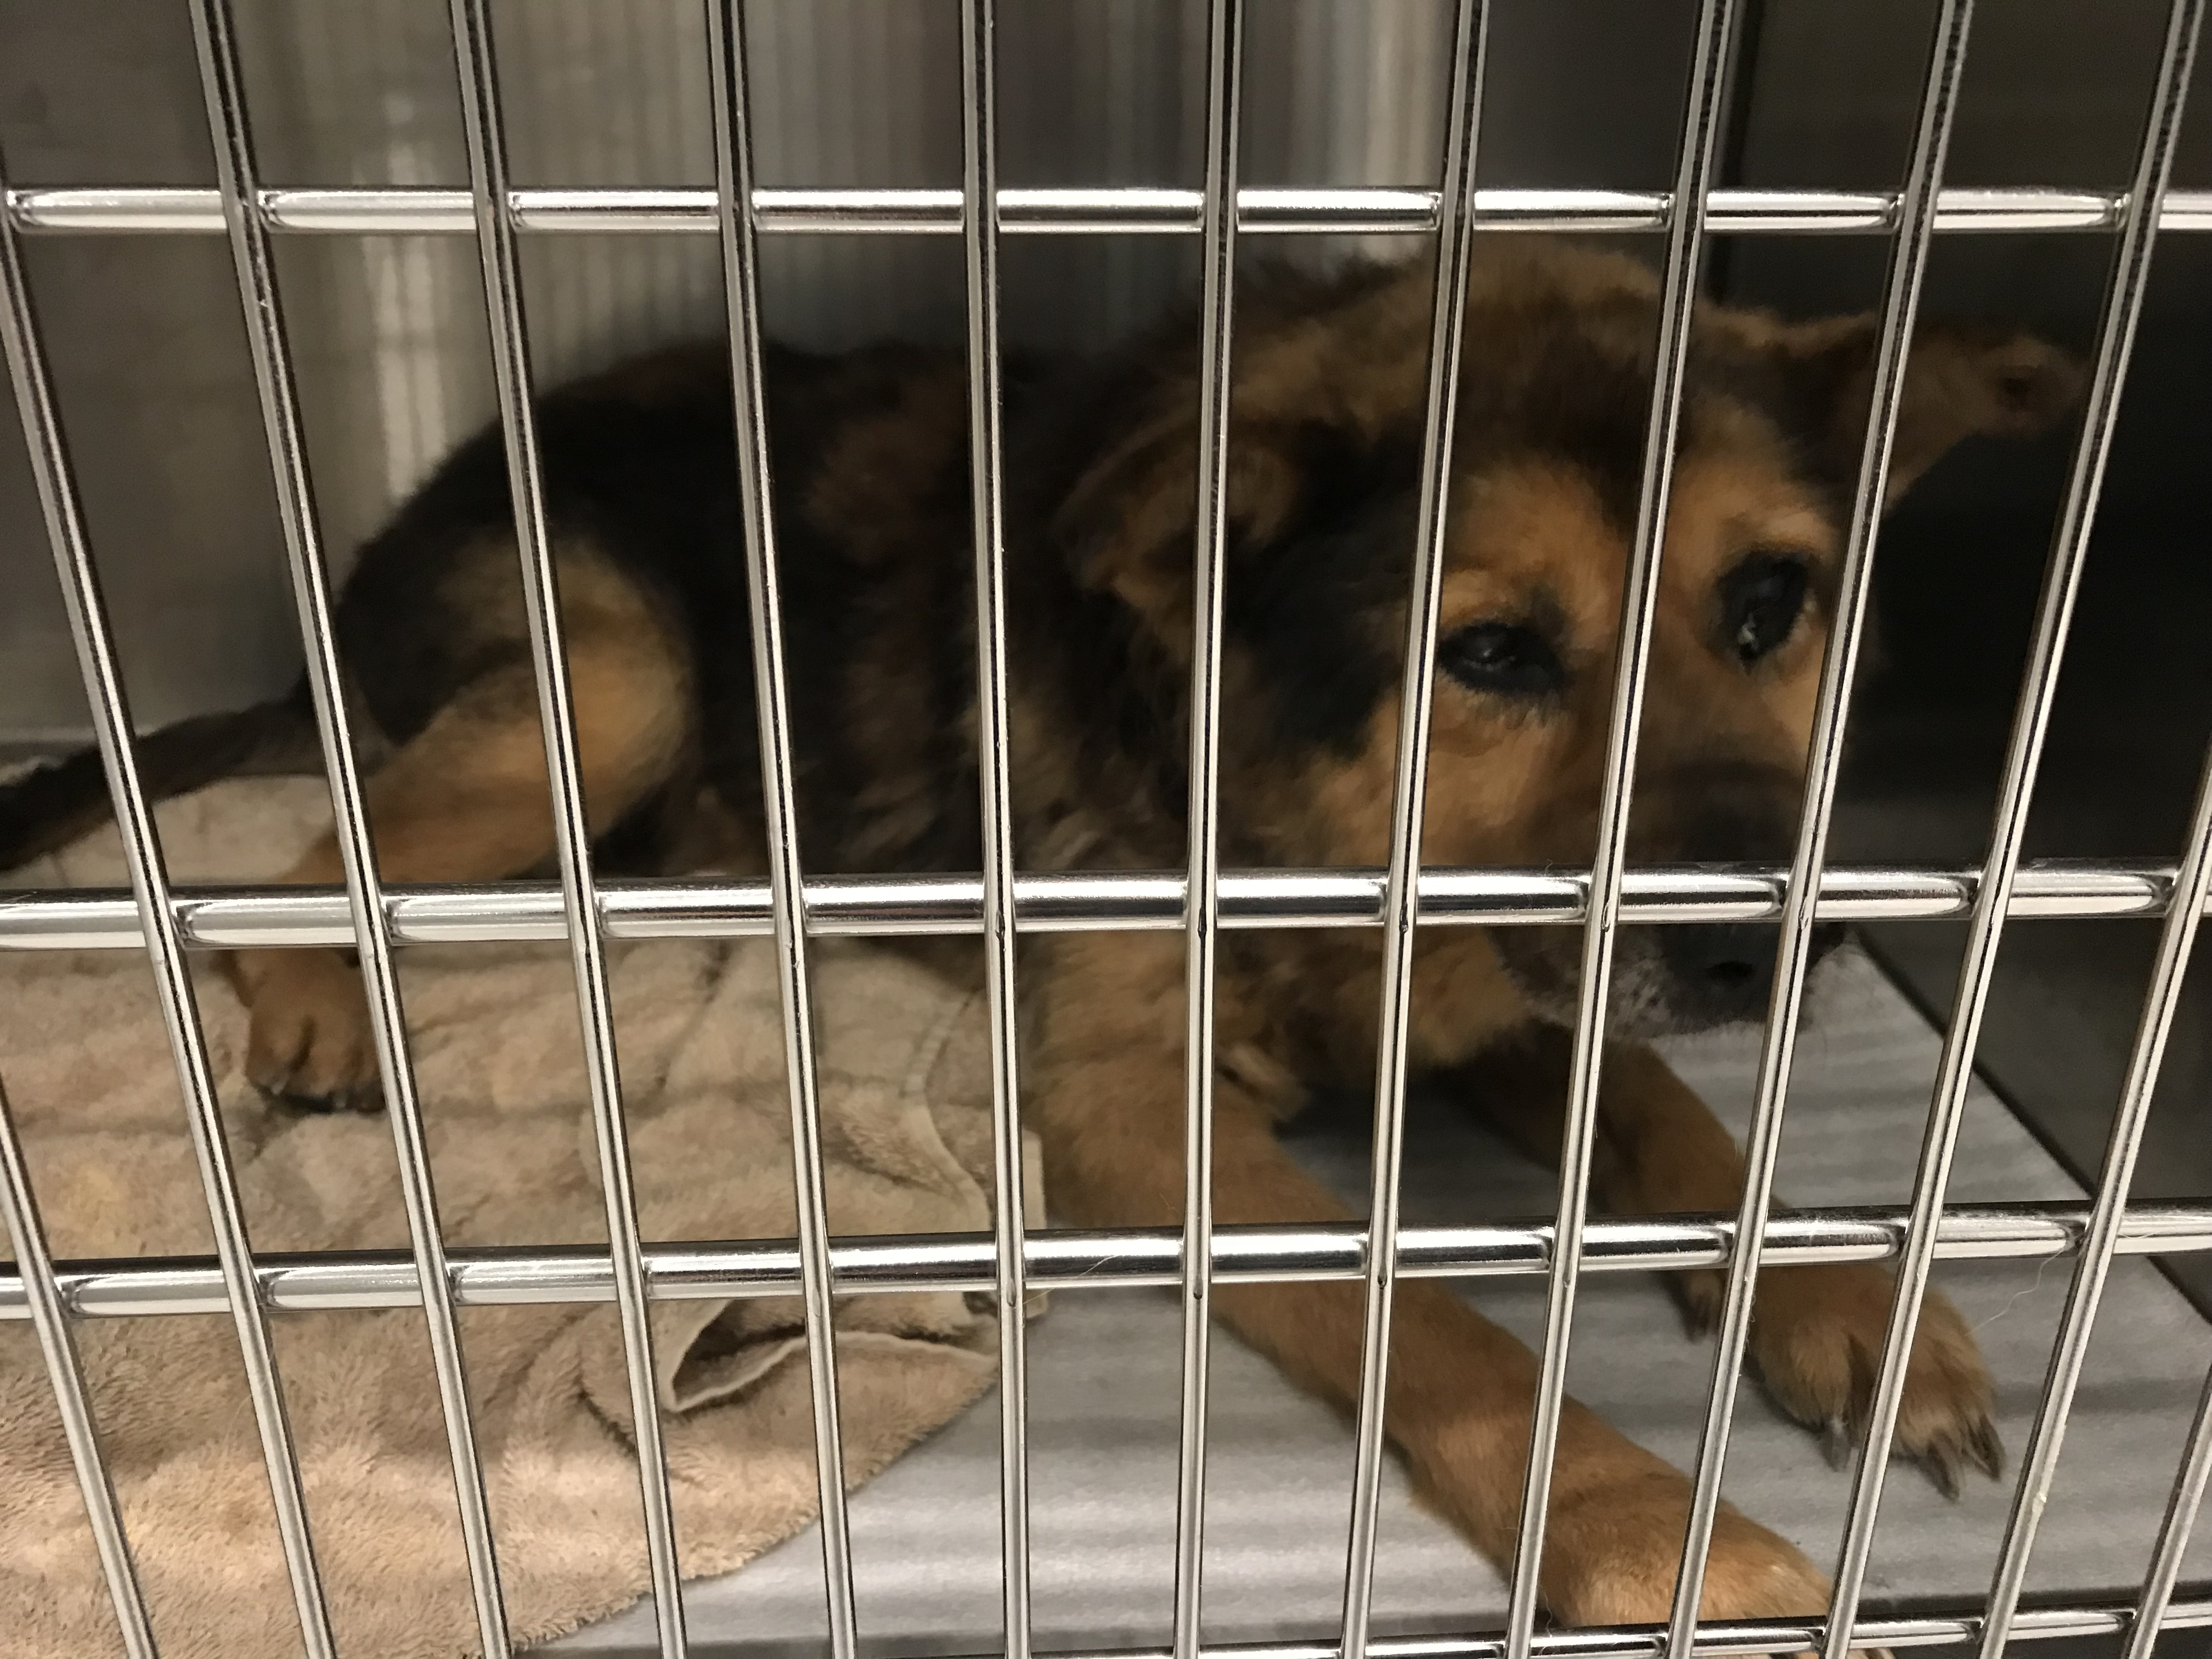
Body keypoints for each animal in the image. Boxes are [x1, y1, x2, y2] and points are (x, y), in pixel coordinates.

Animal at [1, 240, 2080, 1630]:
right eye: (1491, 651)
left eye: (1769, 604)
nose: (1760, 956)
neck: (1278, 800)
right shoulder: (1138, 1116)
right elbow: (1438, 1319)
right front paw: (1644, 1523)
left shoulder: (1497, 982)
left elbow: (1672, 1116)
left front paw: (1848, 1295)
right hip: (613, 682)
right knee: (325, 852)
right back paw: (323, 1000)